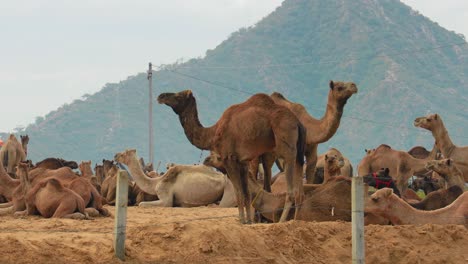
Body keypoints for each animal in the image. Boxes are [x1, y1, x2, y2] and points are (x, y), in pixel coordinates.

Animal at [157, 91, 308, 223]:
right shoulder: (243, 162)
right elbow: (246, 193)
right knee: (300, 190)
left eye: (178, 95)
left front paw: (242, 220)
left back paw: (282, 221)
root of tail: (297, 123)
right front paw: (249, 221)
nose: (161, 96)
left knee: (291, 191)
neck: (213, 132)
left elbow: (239, 192)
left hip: (287, 144)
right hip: (299, 153)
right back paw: (296, 220)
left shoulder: (229, 159)